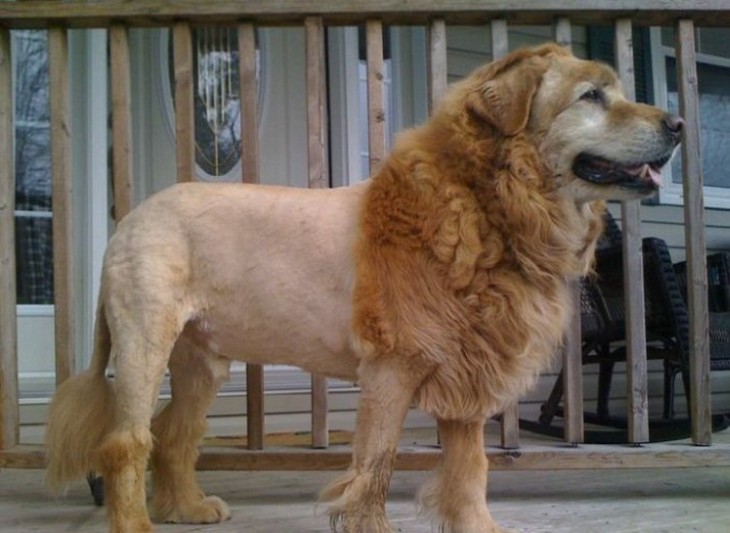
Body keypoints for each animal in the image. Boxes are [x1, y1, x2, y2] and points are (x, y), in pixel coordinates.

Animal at [47, 42, 684, 532]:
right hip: (145, 343)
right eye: (592, 96)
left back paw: (187, 508)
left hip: (200, 361)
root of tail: (130, 218)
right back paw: (136, 523)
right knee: (127, 441)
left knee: (174, 434)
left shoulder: (467, 368)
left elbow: (470, 470)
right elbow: (375, 466)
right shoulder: (391, 367)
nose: (678, 124)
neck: (488, 205)